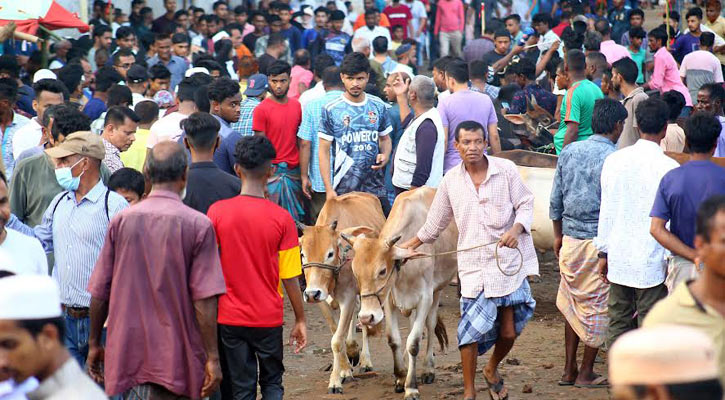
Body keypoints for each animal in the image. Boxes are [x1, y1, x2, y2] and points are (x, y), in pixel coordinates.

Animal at [296, 193, 384, 394]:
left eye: (329, 253)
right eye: (303, 254)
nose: (311, 293)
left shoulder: (348, 297)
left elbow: (337, 340)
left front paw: (335, 382)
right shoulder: (321, 300)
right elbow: (336, 333)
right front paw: (344, 370)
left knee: (364, 320)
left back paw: (365, 360)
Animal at [342, 188, 456, 400]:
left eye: (382, 271)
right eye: (355, 271)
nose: (366, 317)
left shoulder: (425, 298)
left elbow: (414, 342)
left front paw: (411, 387)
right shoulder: (389, 301)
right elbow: (393, 340)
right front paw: (401, 377)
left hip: (437, 291)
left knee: (430, 326)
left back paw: (428, 369)